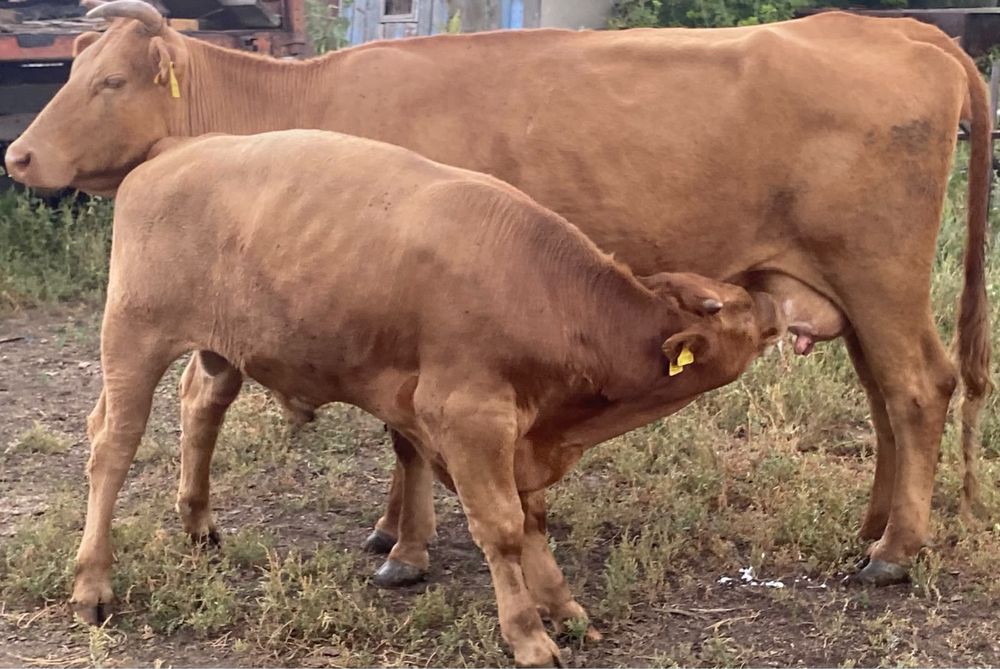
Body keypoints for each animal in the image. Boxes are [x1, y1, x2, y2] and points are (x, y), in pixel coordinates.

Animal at [5, 0, 990, 586]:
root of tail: (898, 28)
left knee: (917, 388)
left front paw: (405, 549)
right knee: (886, 397)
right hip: (845, 292)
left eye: (109, 80)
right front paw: (392, 532)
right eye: (71, 73)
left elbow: (405, 441)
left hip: (879, 275)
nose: (18, 155)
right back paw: (874, 523)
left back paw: (896, 552)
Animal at [76, 129, 783, 666]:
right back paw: (93, 584)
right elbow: (502, 527)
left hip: (220, 348)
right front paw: (529, 636)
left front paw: (564, 607)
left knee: (202, 406)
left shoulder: (517, 433)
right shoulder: (470, 418)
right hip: (132, 337)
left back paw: (198, 524)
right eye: (737, 311)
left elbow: (533, 520)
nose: (777, 303)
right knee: (113, 446)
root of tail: (180, 147)